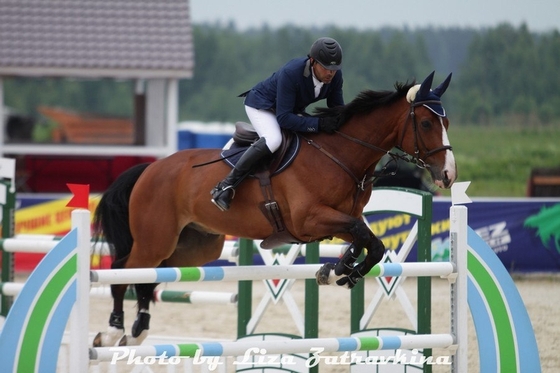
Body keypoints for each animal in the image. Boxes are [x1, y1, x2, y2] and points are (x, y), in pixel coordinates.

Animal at [94, 70, 458, 346]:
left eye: (447, 122)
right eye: (426, 124)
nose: (448, 175)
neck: (341, 155)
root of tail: (150, 168)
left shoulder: (339, 219)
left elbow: (368, 240)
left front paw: (340, 270)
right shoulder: (310, 220)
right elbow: (365, 236)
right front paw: (344, 270)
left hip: (192, 248)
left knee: (149, 277)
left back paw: (139, 329)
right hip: (155, 239)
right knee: (124, 270)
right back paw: (112, 330)